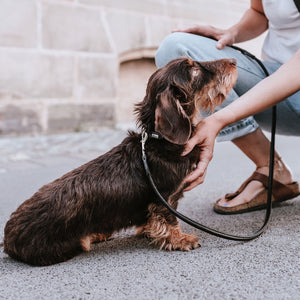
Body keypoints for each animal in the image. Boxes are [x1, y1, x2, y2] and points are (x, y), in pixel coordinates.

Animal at [2, 57, 237, 266]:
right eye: (194, 70)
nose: (234, 61)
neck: (160, 142)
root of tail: (8, 239)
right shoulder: (164, 199)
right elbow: (169, 220)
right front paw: (180, 239)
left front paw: (149, 231)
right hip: (70, 244)